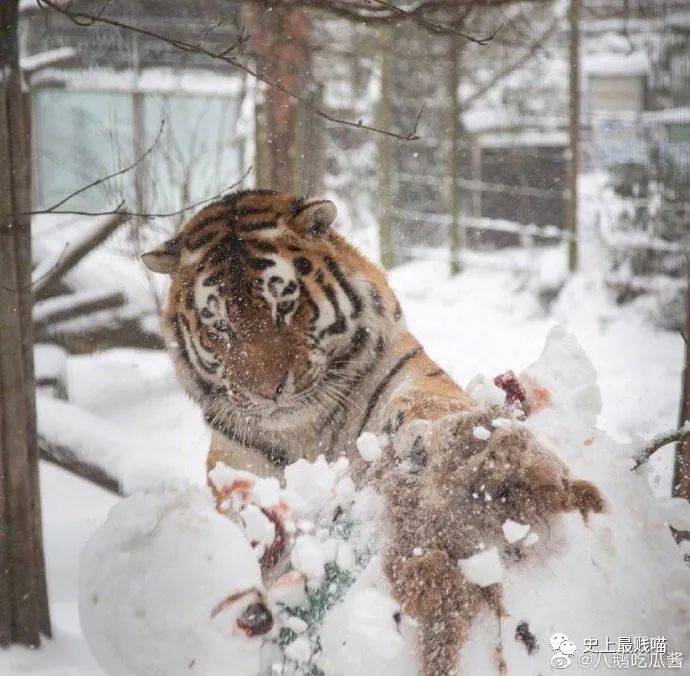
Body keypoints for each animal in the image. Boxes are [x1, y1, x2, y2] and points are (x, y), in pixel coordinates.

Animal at [141, 187, 600, 672]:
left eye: (285, 305)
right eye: (219, 326)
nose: (267, 391)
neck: (301, 431)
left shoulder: (407, 370)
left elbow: (427, 403)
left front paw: (462, 442)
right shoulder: (232, 456)